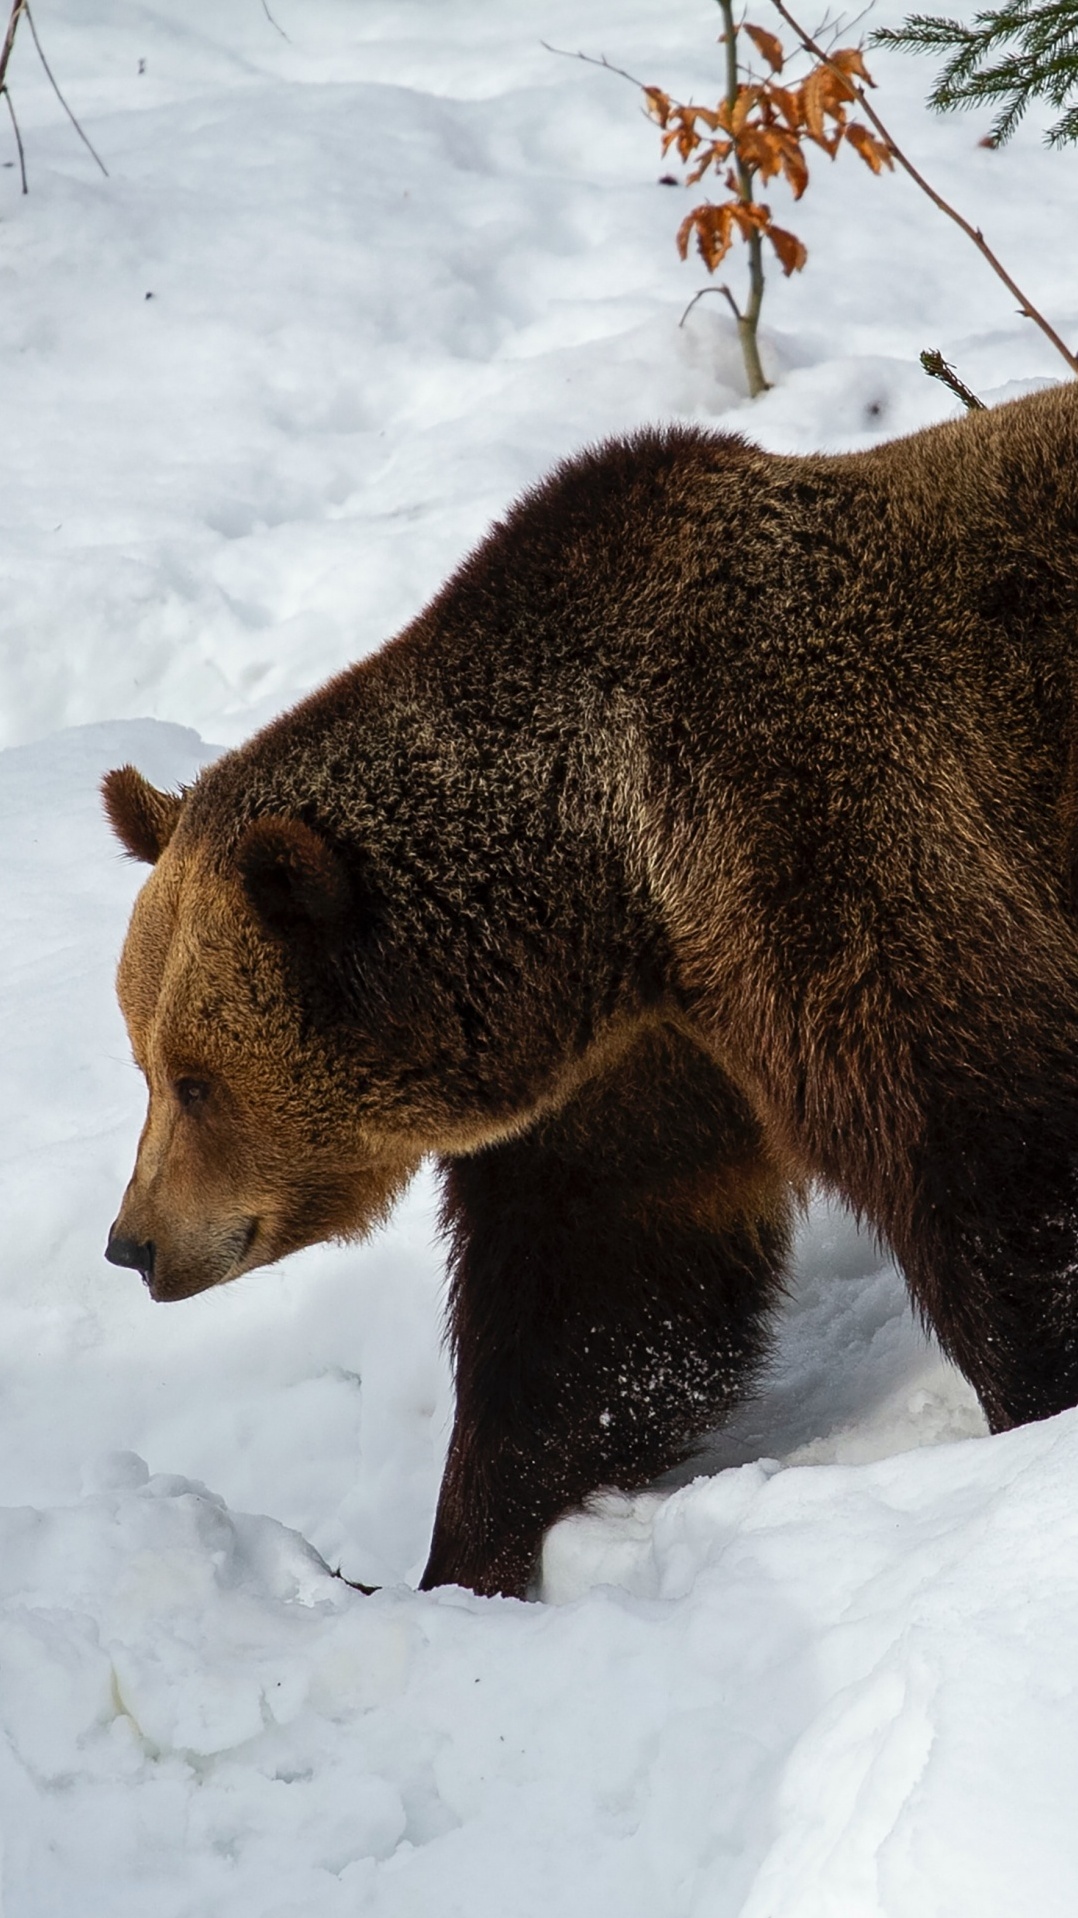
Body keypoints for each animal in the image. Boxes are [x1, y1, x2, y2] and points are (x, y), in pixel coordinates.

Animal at [105, 381, 1074, 1595]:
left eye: (197, 1080)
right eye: (141, 1063)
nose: (132, 1241)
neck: (616, 876)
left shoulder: (831, 841)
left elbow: (990, 1149)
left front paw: (1037, 1414)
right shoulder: (643, 1053)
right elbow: (604, 1296)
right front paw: (460, 1555)